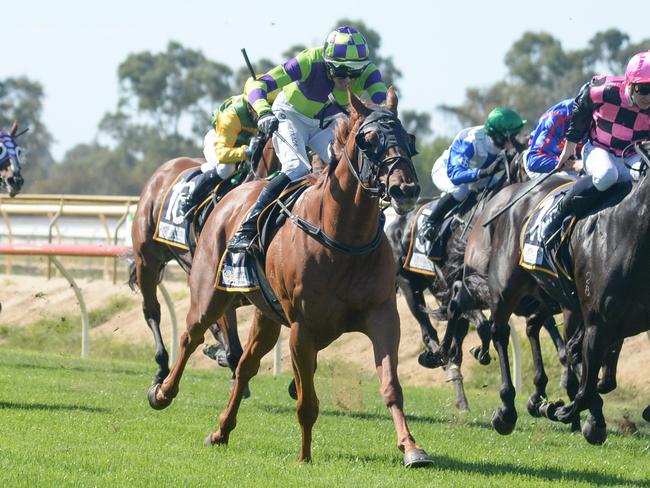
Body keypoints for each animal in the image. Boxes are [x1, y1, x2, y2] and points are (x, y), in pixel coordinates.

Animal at [146, 87, 430, 466]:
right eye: (368, 140)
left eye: (407, 138)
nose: (405, 189)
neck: (343, 238)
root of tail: (232, 195)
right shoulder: (302, 327)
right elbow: (307, 401)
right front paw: (305, 456)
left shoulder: (382, 314)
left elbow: (391, 387)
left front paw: (412, 448)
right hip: (209, 292)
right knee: (191, 337)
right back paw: (162, 392)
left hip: (266, 316)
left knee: (246, 365)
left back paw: (221, 430)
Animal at [456, 140, 648, 442]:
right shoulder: (594, 319)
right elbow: (583, 374)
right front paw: (567, 410)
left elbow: (590, 368)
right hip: (505, 286)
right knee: (499, 331)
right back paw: (507, 408)